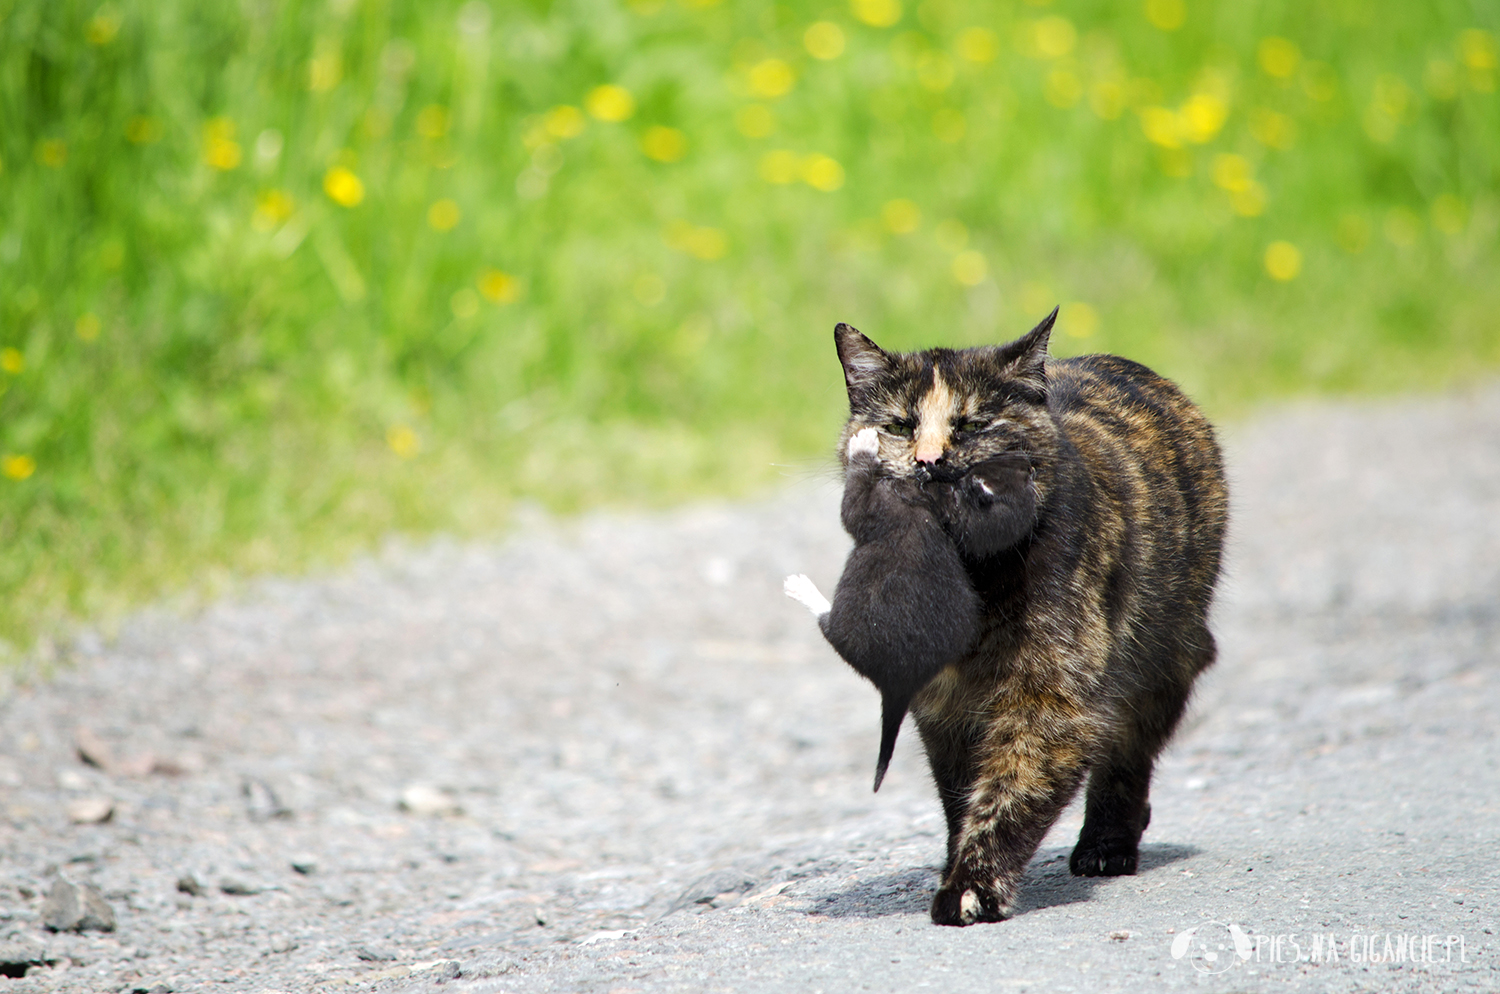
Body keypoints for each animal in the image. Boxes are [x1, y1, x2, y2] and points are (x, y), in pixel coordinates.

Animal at [792, 308, 1224, 923]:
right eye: (899, 426)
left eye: (973, 425)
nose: (929, 462)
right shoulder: (943, 707)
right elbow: (962, 792)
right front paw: (958, 863)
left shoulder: (1051, 698)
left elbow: (1010, 790)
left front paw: (971, 887)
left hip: (1164, 659)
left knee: (1126, 753)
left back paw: (1106, 845)